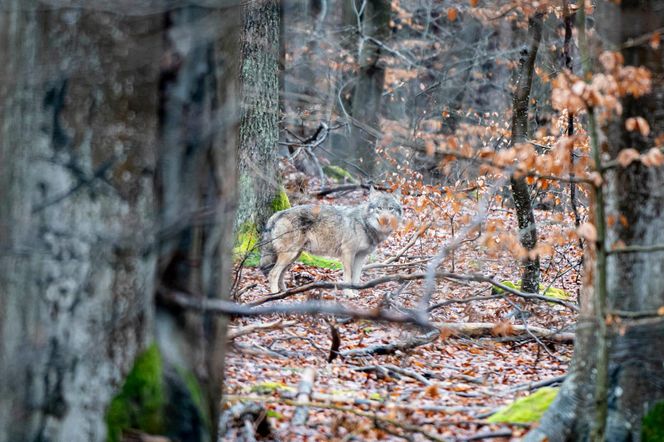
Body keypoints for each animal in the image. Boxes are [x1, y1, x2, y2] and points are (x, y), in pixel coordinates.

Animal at [260, 187, 402, 294]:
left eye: (390, 208)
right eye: (379, 208)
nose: (385, 220)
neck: (364, 223)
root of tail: (278, 213)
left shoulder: (361, 256)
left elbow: (356, 278)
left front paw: (356, 293)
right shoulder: (348, 253)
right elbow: (348, 277)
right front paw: (349, 295)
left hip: (294, 256)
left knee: (280, 275)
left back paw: (285, 293)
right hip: (290, 255)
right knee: (273, 273)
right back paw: (275, 296)